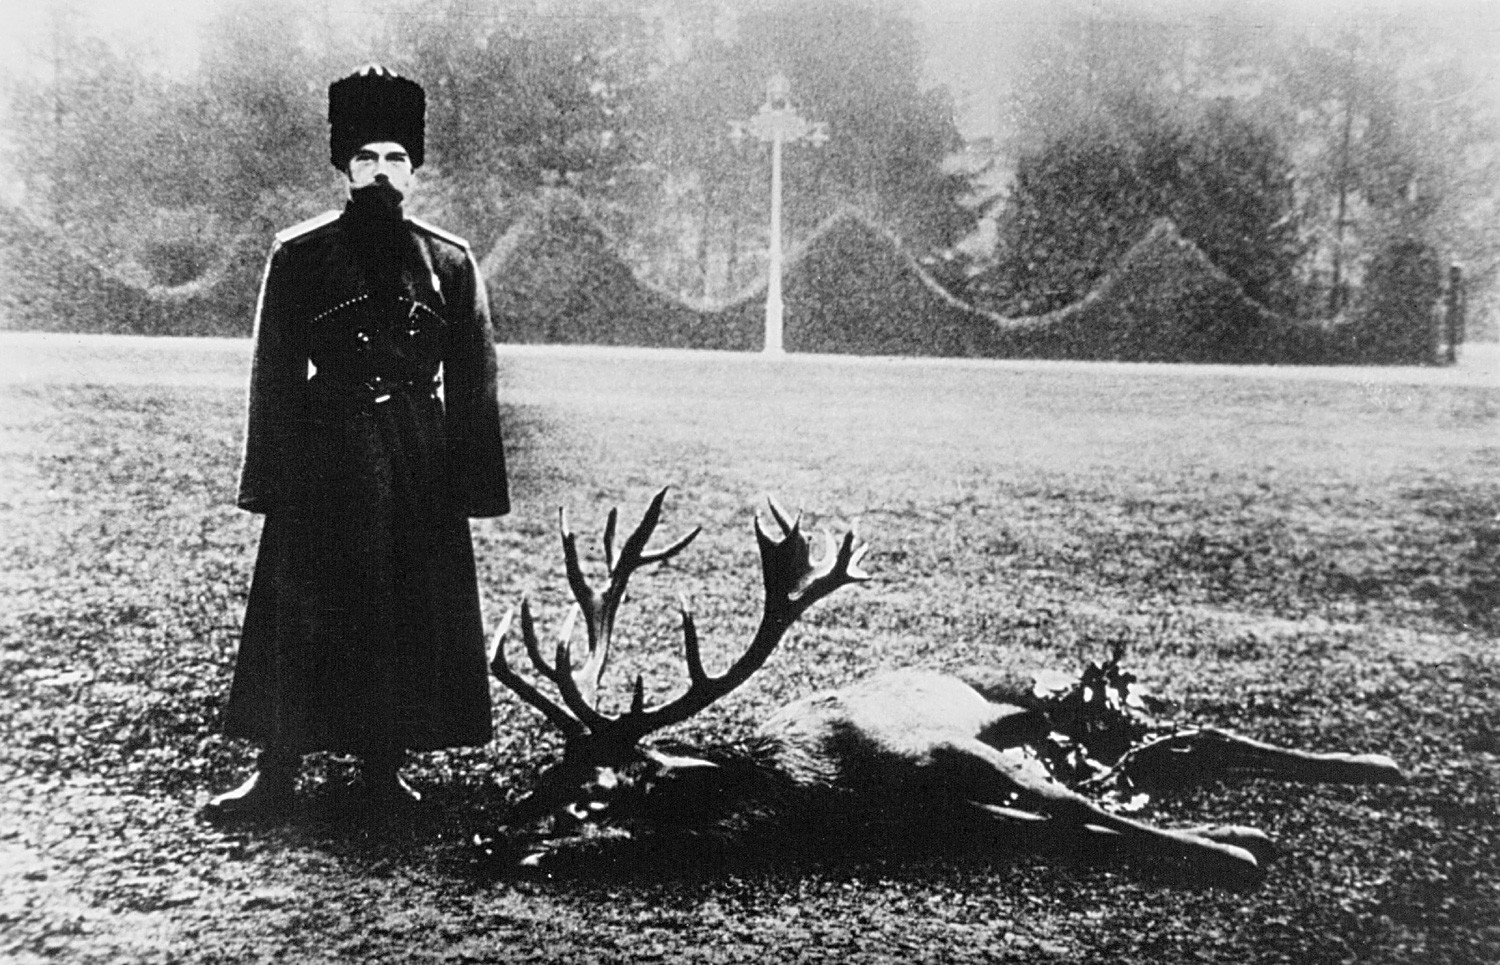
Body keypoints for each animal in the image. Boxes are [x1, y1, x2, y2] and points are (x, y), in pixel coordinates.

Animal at [489, 492, 1404, 888]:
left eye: (599, 793)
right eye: (537, 780)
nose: (491, 839)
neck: (824, 797)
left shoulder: (950, 743)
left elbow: (1075, 808)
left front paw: (1232, 850)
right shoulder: (959, 809)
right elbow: (1069, 824)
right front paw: (1234, 832)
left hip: (1058, 703)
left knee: (1201, 733)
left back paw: (1374, 763)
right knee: (1180, 746)